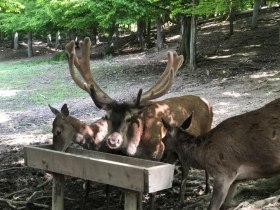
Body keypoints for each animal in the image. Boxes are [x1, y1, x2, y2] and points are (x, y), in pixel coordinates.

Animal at [62, 37, 213, 203]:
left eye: (128, 119)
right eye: (107, 117)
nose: (113, 140)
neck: (137, 146)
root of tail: (207, 102)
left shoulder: (158, 153)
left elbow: (152, 193)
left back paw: (203, 190)